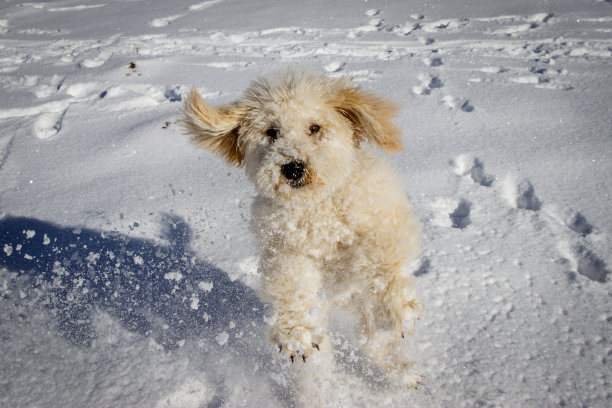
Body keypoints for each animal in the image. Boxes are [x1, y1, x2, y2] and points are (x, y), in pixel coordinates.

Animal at [180, 71, 420, 390]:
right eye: (271, 132)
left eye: (314, 128)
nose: (293, 168)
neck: (316, 209)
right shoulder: (284, 249)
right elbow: (292, 284)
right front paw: (295, 332)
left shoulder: (380, 215)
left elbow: (383, 260)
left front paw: (397, 308)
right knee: (346, 353)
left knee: (373, 338)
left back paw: (404, 370)